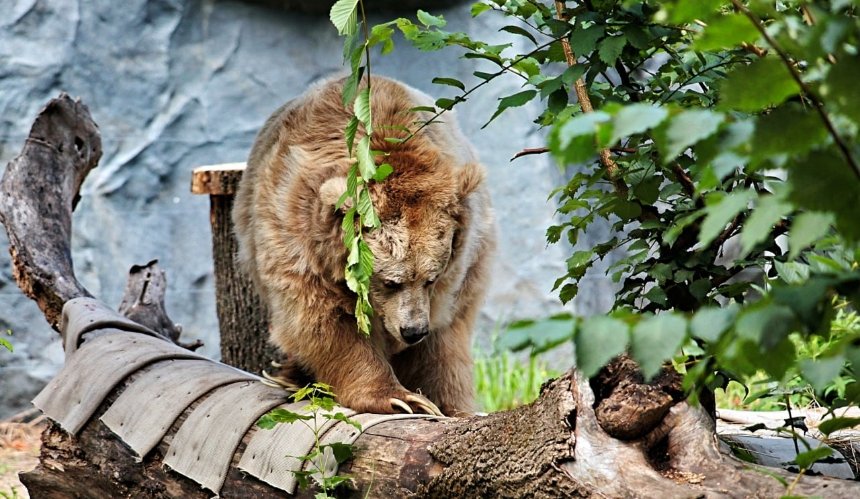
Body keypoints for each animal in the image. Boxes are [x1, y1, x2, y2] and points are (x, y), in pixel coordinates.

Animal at [232, 75, 494, 418]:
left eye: (431, 278)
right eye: (390, 282)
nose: (413, 331)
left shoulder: (454, 277)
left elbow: (442, 338)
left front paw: (432, 400)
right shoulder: (297, 231)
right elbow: (325, 320)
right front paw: (399, 398)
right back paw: (288, 376)